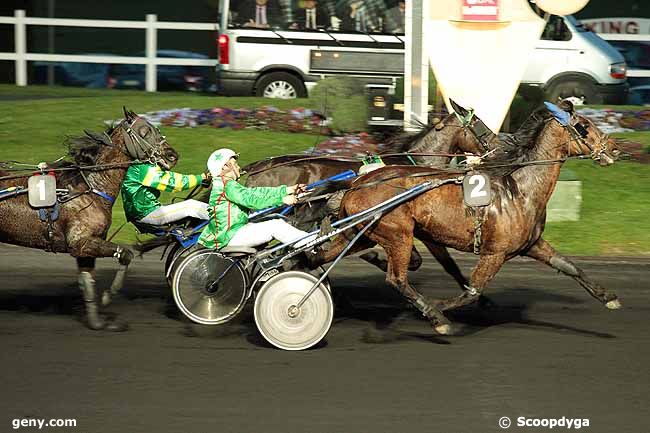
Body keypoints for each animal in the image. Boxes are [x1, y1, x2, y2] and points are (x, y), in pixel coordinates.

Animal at [0, 109, 177, 330]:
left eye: (157, 129)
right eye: (145, 131)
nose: (172, 155)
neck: (90, 187)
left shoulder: (86, 246)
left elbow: (87, 283)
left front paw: (97, 322)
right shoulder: (80, 242)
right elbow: (126, 254)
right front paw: (109, 295)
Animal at [312, 100, 620, 334]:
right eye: (584, 126)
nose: (615, 148)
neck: (519, 189)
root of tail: (356, 184)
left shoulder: (531, 244)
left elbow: (569, 267)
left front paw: (608, 297)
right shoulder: (494, 252)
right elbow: (472, 290)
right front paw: (439, 308)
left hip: (360, 232)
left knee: (317, 258)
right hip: (397, 233)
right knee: (397, 279)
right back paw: (434, 316)